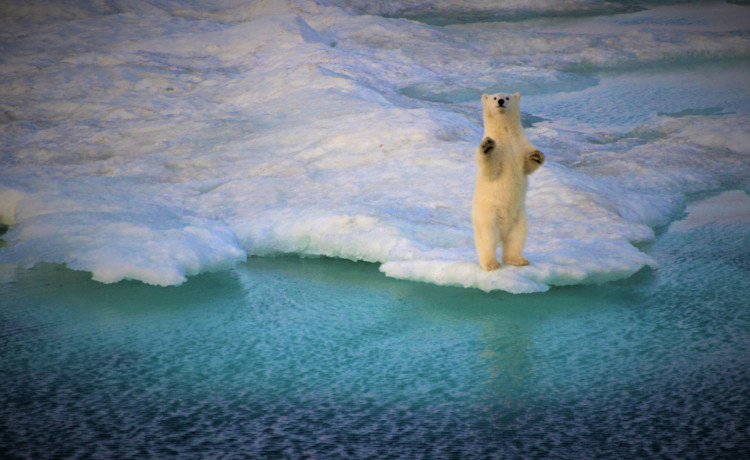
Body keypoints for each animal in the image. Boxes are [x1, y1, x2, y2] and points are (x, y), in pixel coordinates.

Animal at [476, 92, 548, 272]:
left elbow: (527, 166)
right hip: (488, 216)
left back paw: (518, 259)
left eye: (507, 97)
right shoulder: (500, 151)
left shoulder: (521, 145)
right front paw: (487, 147)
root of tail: (503, 232)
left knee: (516, 238)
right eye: (494, 98)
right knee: (487, 238)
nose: (501, 101)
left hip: (519, 218)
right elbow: (491, 169)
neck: (506, 134)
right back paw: (491, 263)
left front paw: (537, 155)